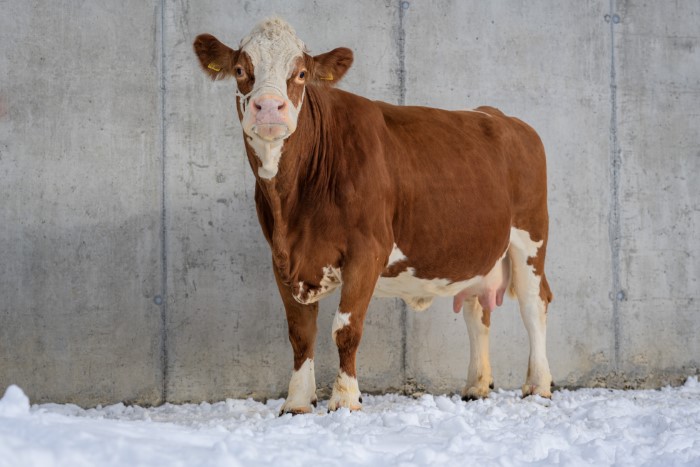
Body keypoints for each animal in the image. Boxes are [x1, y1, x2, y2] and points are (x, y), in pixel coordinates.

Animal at [193, 18, 553, 414]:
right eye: (241, 70)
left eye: (300, 73)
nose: (270, 107)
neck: (293, 206)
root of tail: (500, 116)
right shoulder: (281, 258)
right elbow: (300, 333)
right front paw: (297, 401)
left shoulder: (368, 251)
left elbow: (345, 328)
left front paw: (346, 399)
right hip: (478, 250)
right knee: (477, 311)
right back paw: (476, 385)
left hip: (530, 236)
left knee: (535, 303)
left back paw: (538, 385)